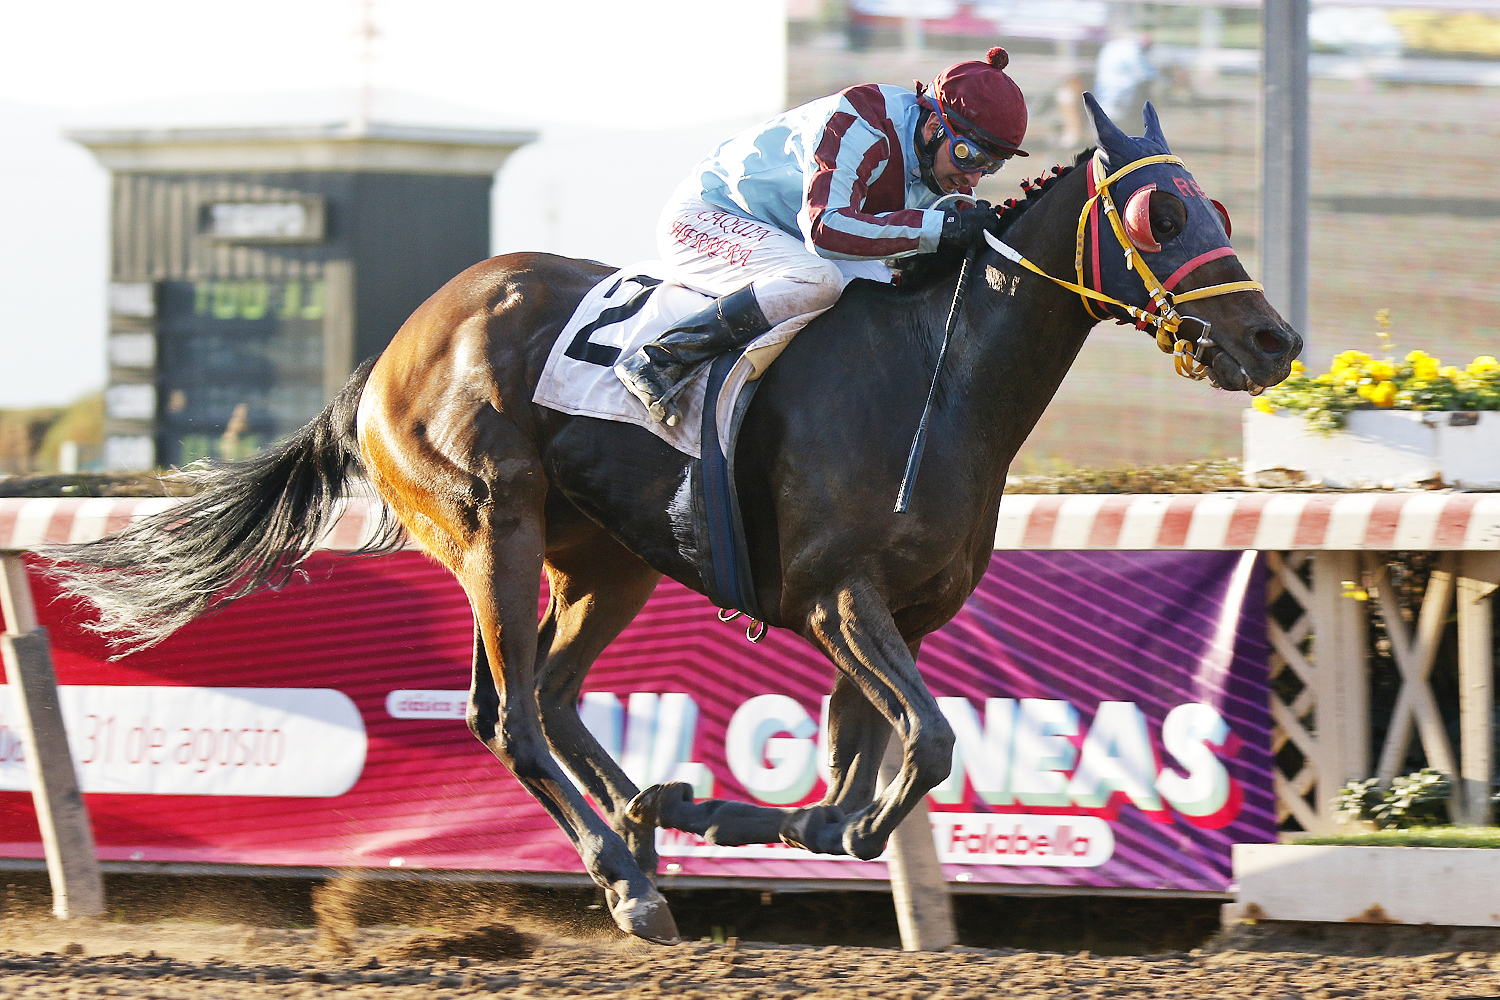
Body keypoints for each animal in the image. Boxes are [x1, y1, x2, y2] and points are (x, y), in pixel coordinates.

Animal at [46, 97, 1300, 944]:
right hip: (492, 525)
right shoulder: (836, 592)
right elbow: (926, 749)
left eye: (1222, 205)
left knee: (553, 693)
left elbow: (865, 786)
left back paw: (645, 829)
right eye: (1160, 210)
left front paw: (716, 804)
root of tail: (394, 345)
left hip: (607, 560)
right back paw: (623, 871)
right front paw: (722, 813)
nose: (1274, 339)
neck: (935, 381)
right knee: (506, 712)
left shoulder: (897, 612)